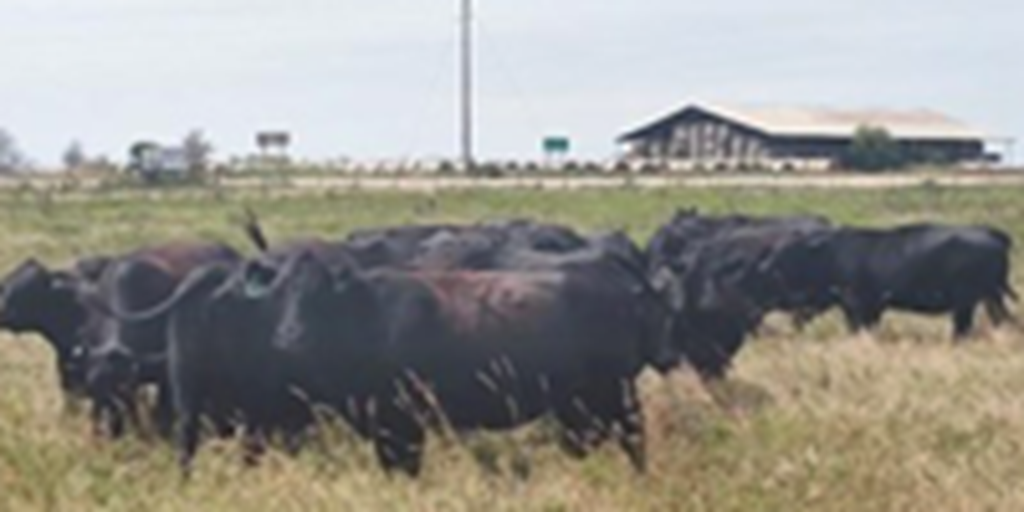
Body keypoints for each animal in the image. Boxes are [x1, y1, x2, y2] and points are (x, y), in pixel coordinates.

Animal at [770, 224, 1015, 339]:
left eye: (791, 249)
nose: (768, 263)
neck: (832, 253)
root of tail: (991, 233)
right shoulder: (871, 308)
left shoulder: (856, 305)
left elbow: (857, 330)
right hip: (990, 297)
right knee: (1002, 320)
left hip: (967, 300)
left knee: (964, 328)